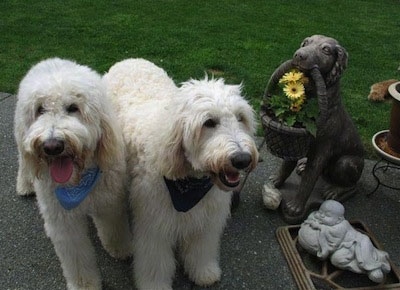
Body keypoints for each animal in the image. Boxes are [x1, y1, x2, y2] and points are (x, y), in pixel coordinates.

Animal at [14, 57, 132, 288]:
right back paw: (24, 185)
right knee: (24, 161)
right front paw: (85, 284)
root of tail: (50, 59)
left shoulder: (109, 201)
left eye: (73, 108)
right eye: (40, 109)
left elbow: (114, 227)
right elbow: (76, 255)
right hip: (22, 142)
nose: (52, 146)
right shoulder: (63, 221)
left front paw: (121, 248)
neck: (78, 183)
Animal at [103, 57, 260, 288]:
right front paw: (155, 285)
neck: (190, 182)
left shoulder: (206, 220)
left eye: (241, 118)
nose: (242, 159)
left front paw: (204, 272)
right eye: (209, 122)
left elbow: (201, 249)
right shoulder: (155, 224)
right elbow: (155, 262)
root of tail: (129, 59)